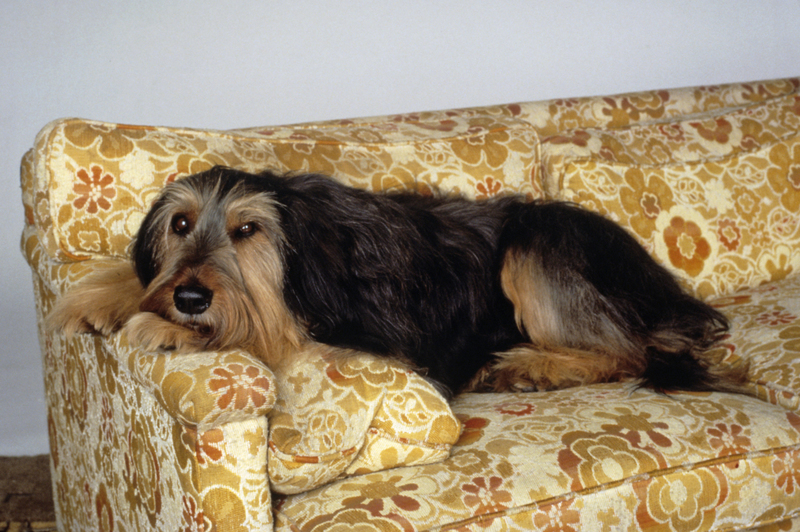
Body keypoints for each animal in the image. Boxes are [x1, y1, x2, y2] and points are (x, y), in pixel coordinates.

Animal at [48, 165, 752, 394]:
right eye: (180, 223)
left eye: (248, 230)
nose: (190, 297)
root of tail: (671, 290)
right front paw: (103, 294)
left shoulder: (385, 337)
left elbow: (267, 327)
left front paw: (169, 328)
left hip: (537, 242)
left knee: (630, 348)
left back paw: (535, 365)